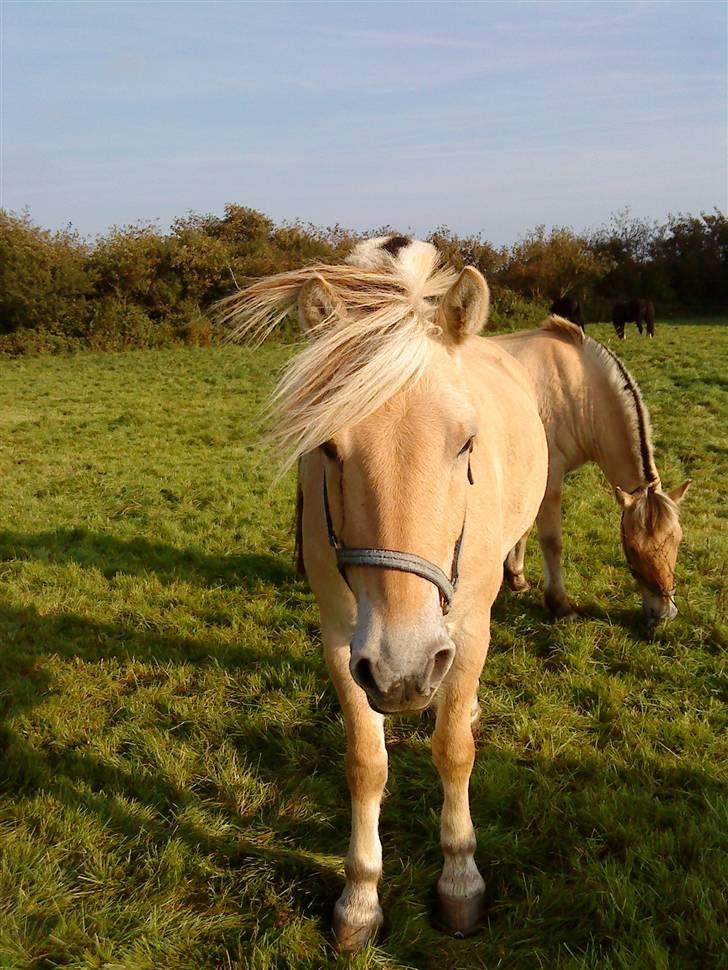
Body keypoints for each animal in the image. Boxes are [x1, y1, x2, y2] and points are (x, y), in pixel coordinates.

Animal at [222, 234, 544, 944]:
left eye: (467, 442)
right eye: (327, 448)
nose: (403, 670)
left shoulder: (467, 630)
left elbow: (453, 750)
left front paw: (460, 880)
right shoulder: (344, 639)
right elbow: (366, 763)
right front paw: (361, 898)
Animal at [498, 314, 692, 624]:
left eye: (678, 540)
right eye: (633, 547)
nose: (663, 613)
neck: (576, 387)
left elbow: (524, 528)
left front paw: (516, 578)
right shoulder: (550, 479)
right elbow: (551, 541)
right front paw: (560, 606)